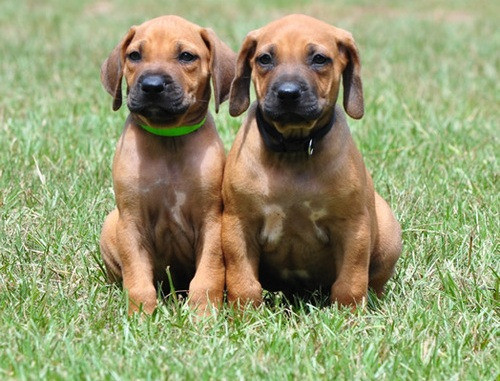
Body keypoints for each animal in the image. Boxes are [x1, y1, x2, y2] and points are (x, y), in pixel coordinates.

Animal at [99, 14, 236, 314]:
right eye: (134, 55)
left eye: (186, 56)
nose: (151, 86)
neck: (169, 140)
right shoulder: (132, 222)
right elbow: (138, 279)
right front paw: (141, 316)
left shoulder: (212, 222)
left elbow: (207, 277)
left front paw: (204, 316)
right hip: (110, 224)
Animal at [223, 14, 402, 308]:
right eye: (264, 59)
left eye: (319, 59)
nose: (288, 93)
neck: (294, 149)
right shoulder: (238, 225)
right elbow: (243, 282)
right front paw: (245, 314)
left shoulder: (354, 227)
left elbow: (351, 282)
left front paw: (349, 316)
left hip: (387, 234)